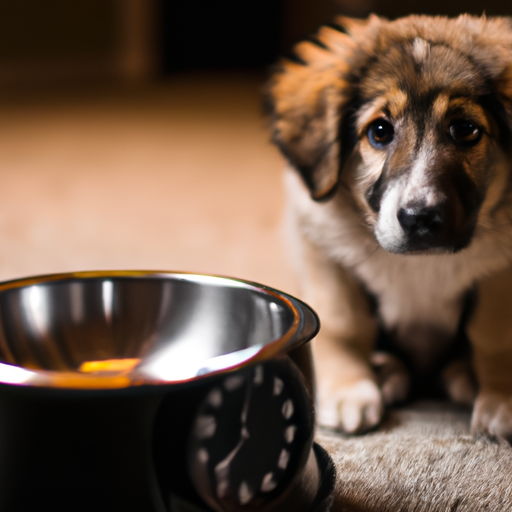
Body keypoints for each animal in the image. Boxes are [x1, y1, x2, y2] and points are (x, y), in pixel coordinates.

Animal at [266, 15, 512, 440]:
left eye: (466, 129)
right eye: (379, 131)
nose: (419, 218)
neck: (420, 263)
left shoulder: (499, 270)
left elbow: (494, 335)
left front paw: (500, 395)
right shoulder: (320, 246)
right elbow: (342, 321)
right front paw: (349, 389)